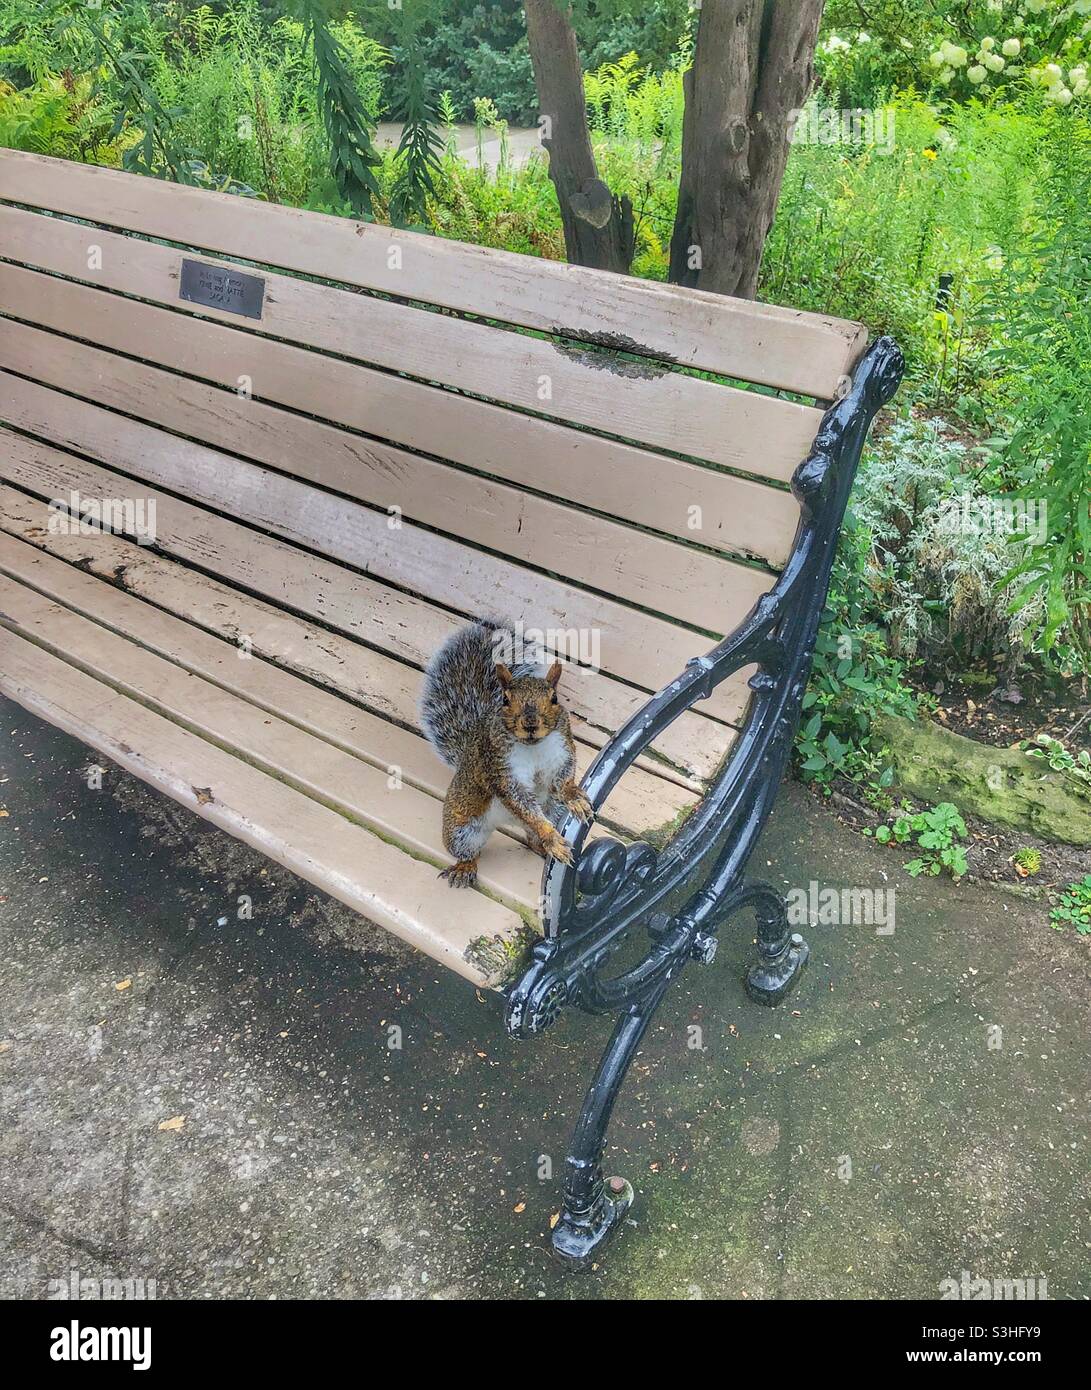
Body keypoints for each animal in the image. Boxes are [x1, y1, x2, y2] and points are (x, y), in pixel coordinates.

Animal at [420, 619, 593, 888]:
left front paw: (572, 795)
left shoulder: (563, 749)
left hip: (554, 811)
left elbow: (565, 774)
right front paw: (552, 839)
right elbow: (521, 802)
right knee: (470, 851)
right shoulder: (501, 769)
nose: (530, 723)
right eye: (505, 699)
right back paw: (465, 867)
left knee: (532, 838)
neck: (533, 747)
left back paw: (543, 848)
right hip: (461, 829)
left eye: (554, 698)